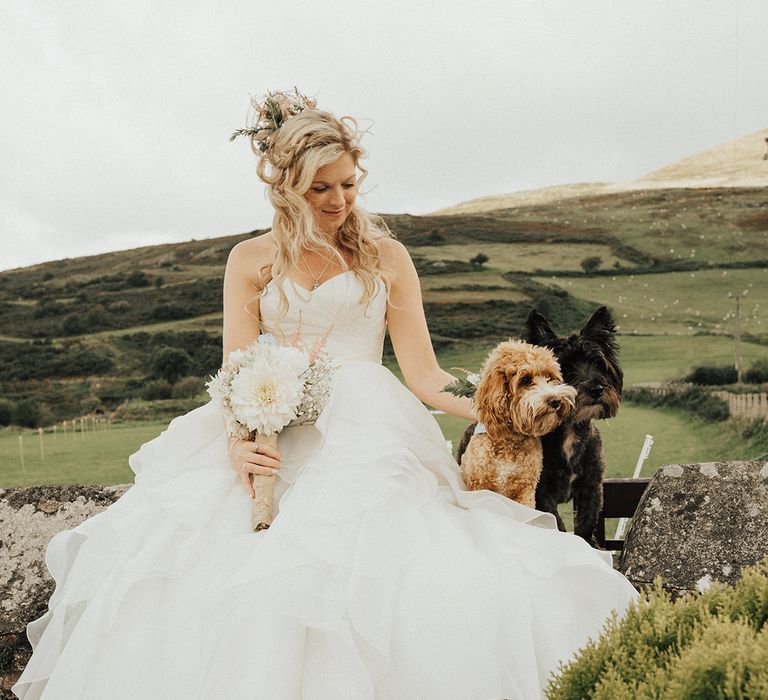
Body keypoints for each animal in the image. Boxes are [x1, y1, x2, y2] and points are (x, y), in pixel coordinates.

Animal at [456, 340, 576, 508]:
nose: (555, 401)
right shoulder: (479, 486)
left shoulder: (526, 490)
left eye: (549, 377)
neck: (510, 440)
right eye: (525, 380)